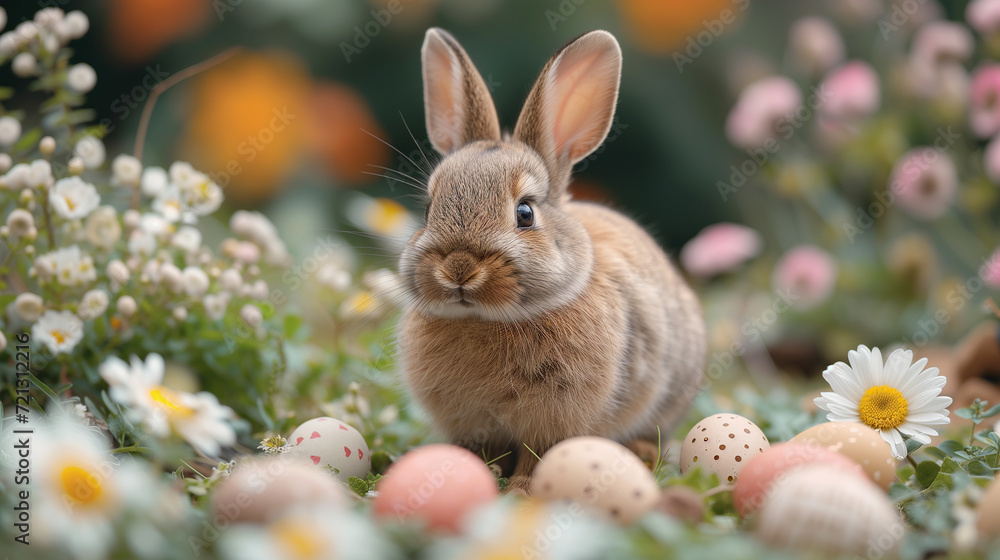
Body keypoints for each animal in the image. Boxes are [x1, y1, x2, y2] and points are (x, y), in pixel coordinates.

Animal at [397, 28, 706, 496]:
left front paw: (522, 488)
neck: (487, 319)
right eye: (429, 208)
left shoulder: (554, 420)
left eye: (525, 213)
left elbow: (538, 454)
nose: (459, 268)